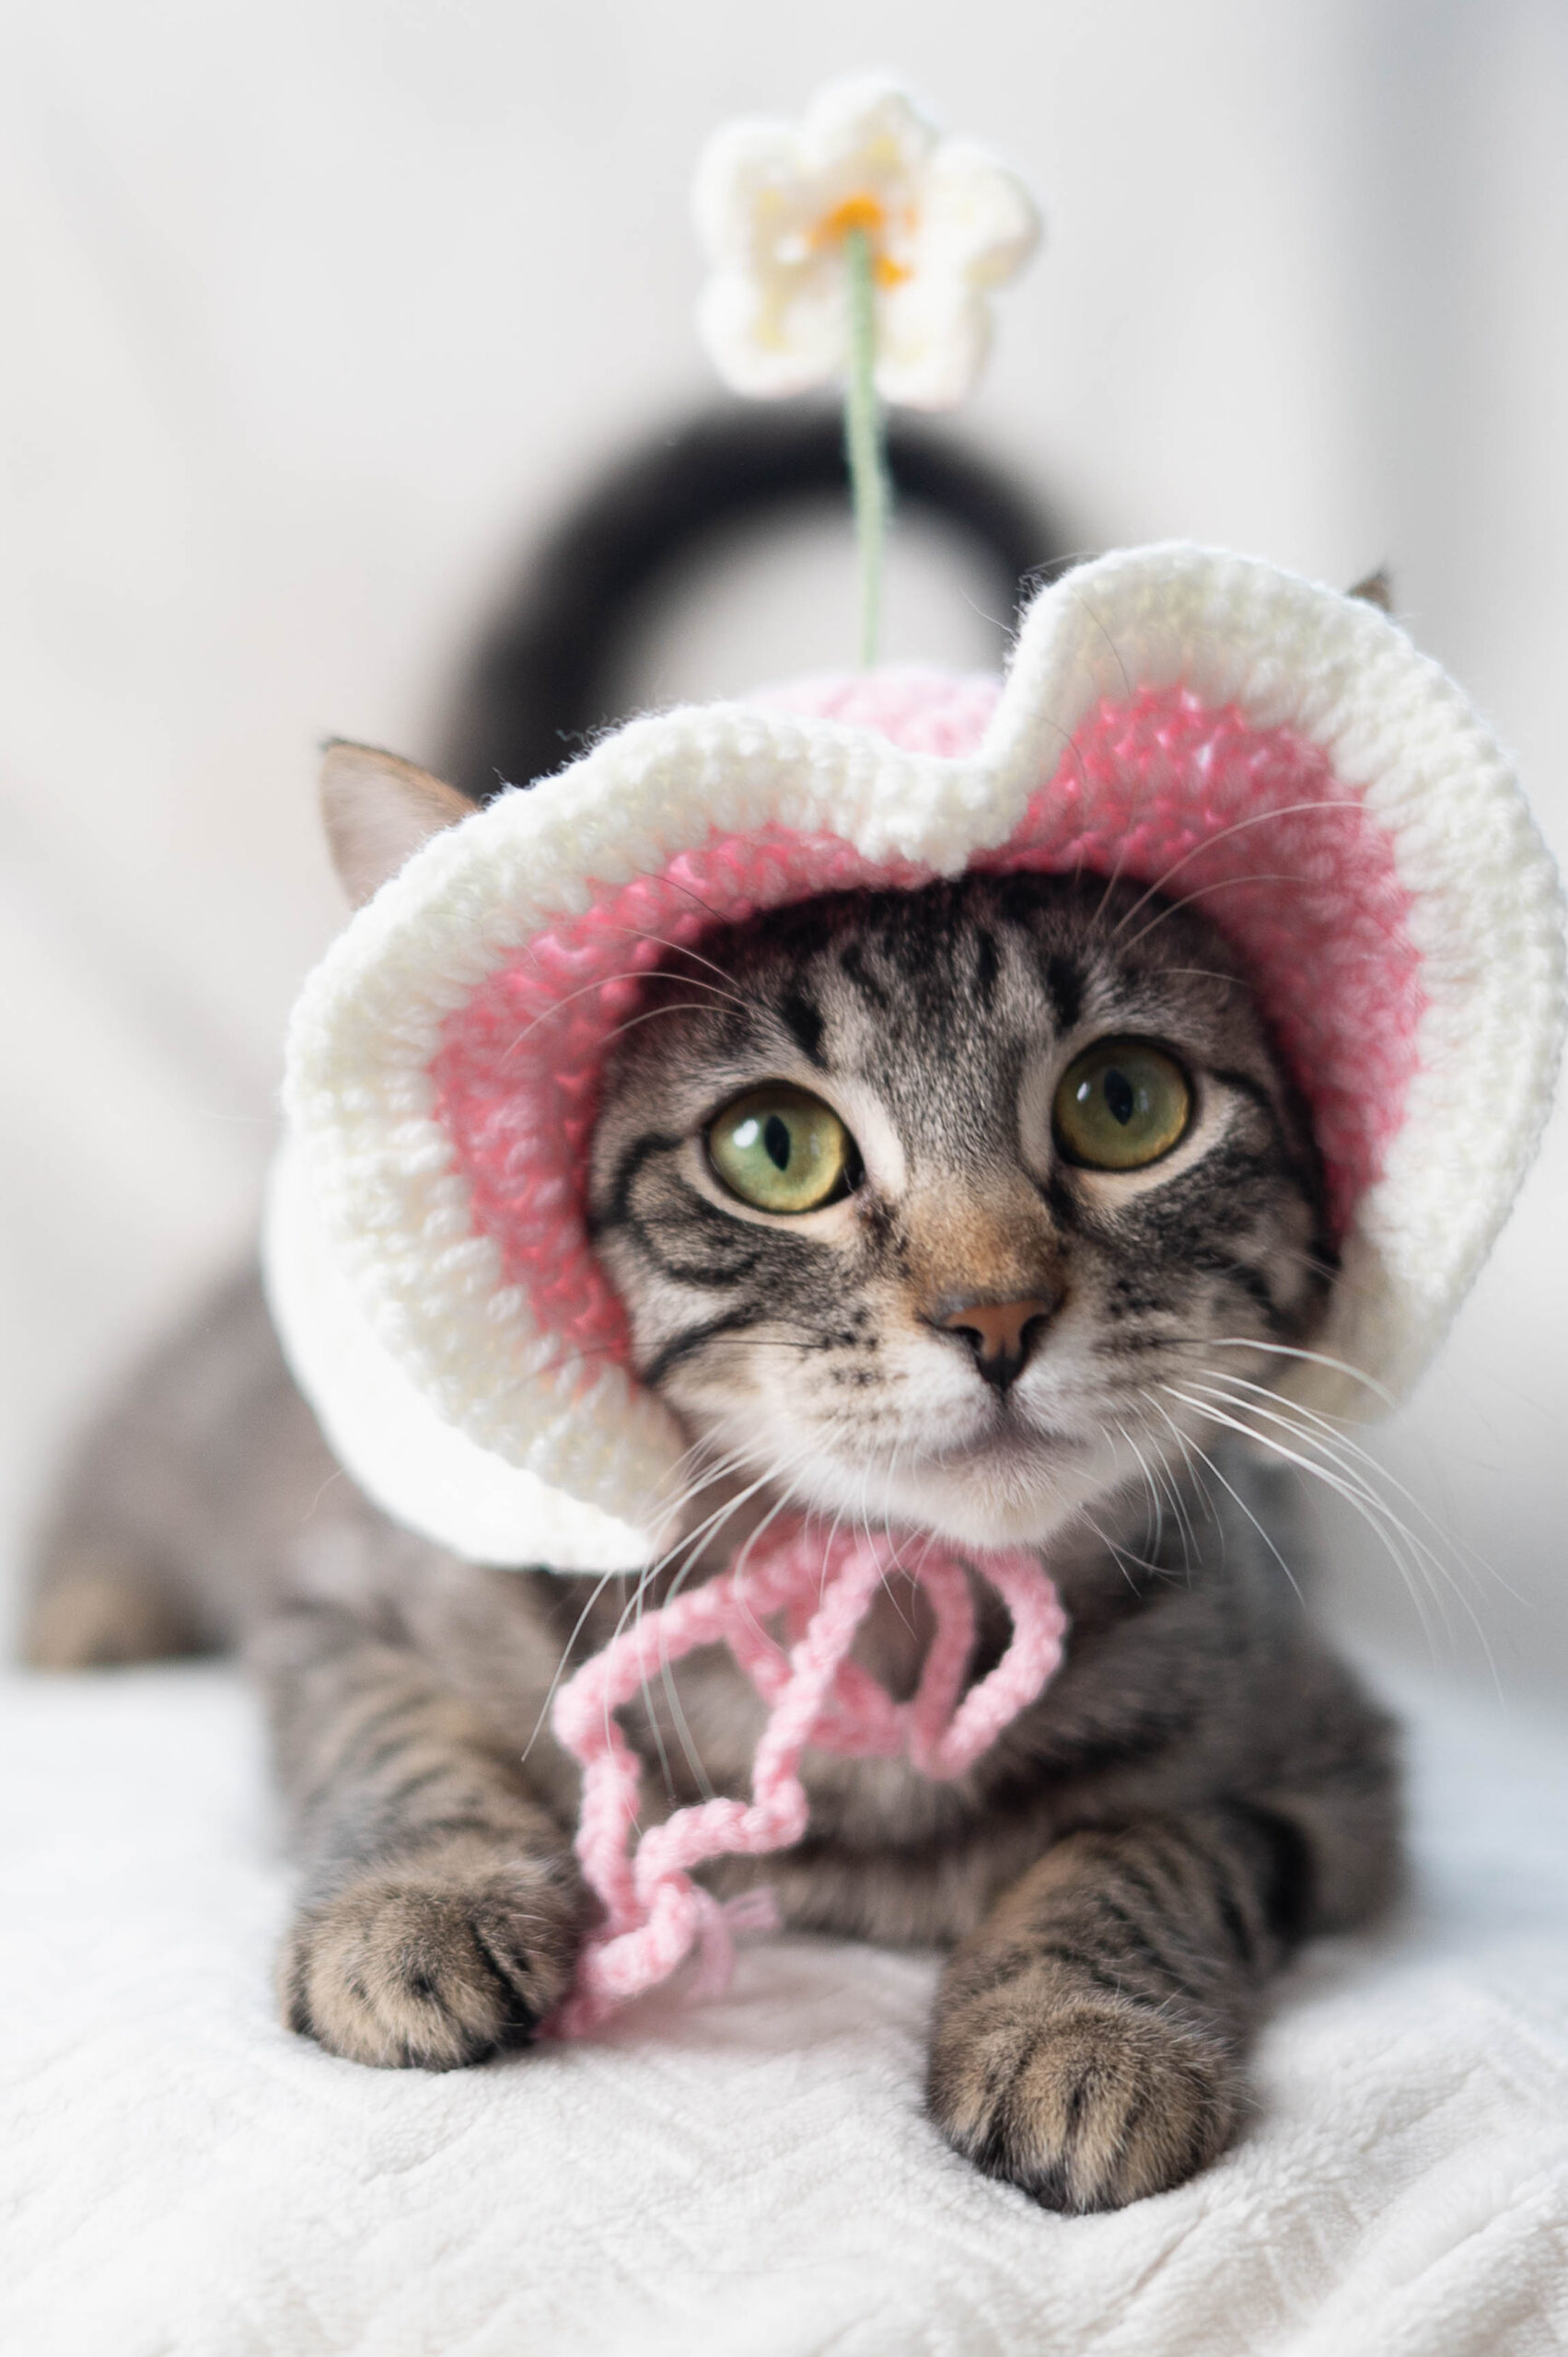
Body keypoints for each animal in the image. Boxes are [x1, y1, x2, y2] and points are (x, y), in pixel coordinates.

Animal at [25, 740, 1399, 2214]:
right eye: (773, 1146)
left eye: (1124, 1103)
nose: (995, 1314)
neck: (881, 1626)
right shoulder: (342, 1600)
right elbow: (401, 1740)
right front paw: (420, 1903)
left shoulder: (1334, 1762)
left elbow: (1143, 1849)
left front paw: (1079, 2030)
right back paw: (91, 1613)